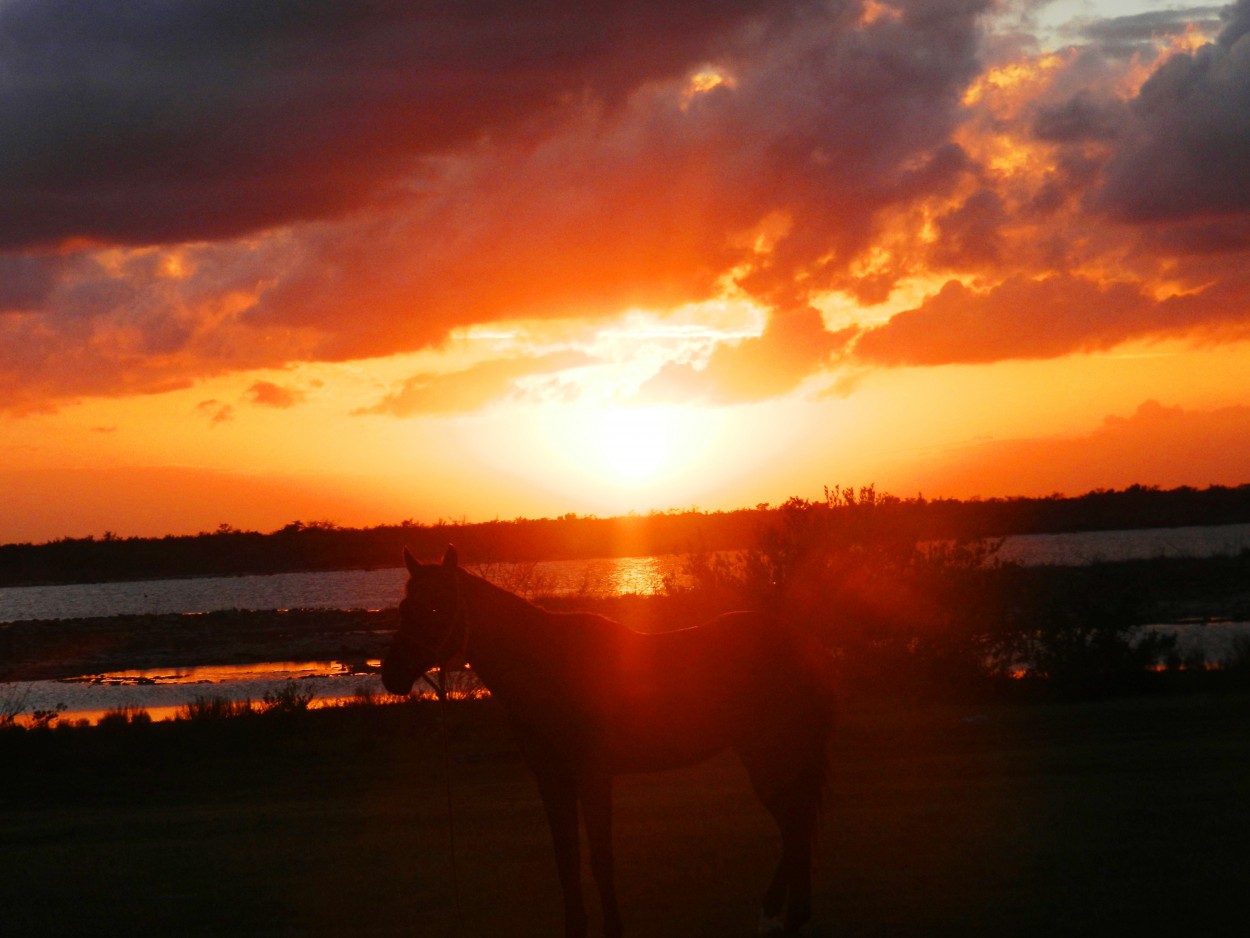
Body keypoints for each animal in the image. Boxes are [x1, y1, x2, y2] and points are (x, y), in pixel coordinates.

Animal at [377, 547, 830, 935]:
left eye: (436, 607)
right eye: (403, 608)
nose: (391, 674)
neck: (549, 666)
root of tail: (804, 645)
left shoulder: (594, 776)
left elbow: (600, 859)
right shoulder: (552, 781)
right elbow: (566, 860)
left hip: (769, 757)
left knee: (795, 826)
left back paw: (782, 915)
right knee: (796, 825)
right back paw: (786, 913)